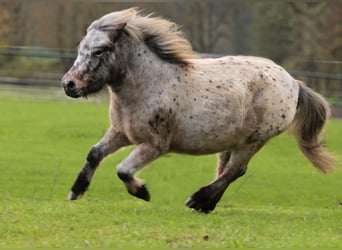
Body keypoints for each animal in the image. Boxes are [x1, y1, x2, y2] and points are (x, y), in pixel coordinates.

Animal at [60, 7, 336, 213]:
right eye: (80, 48)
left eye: (100, 50)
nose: (68, 84)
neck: (151, 84)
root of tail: (293, 83)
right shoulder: (121, 133)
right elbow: (94, 153)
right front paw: (76, 191)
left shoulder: (155, 145)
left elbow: (123, 170)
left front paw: (142, 192)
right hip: (233, 139)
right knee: (229, 169)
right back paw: (206, 205)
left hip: (256, 139)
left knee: (235, 170)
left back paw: (198, 200)